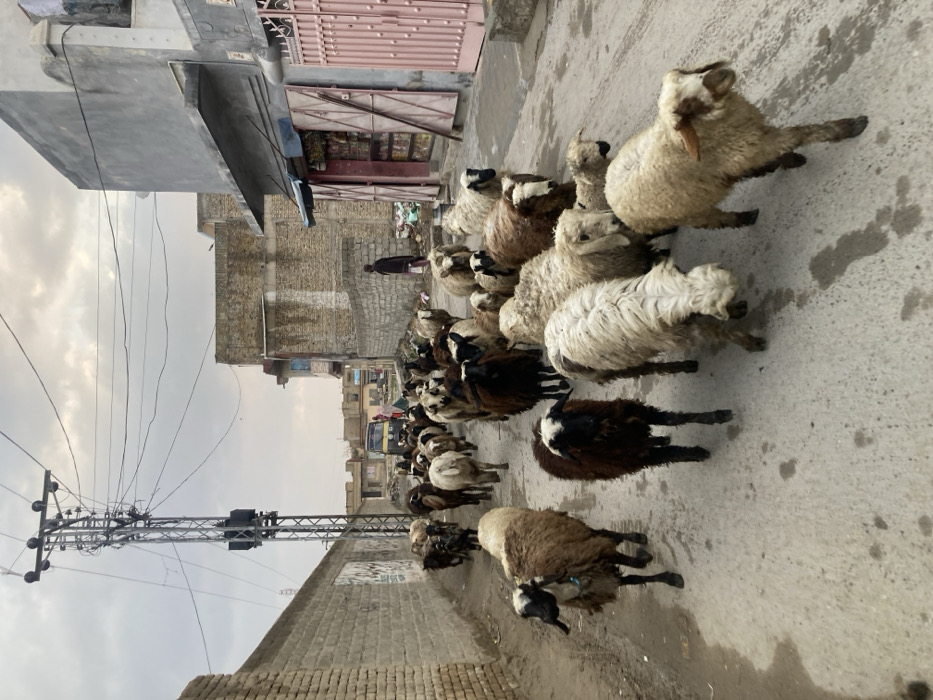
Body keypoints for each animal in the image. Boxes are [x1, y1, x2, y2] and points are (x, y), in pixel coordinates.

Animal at [478, 507, 684, 634]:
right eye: (527, 615)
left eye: (534, 594)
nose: (550, 617)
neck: (572, 586)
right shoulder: (603, 581)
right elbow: (635, 578)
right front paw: (669, 578)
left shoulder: (600, 557)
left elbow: (636, 565)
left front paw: (670, 577)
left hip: (577, 531)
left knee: (603, 533)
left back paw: (637, 537)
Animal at [532, 392, 734, 480]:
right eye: (564, 442)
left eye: (566, 415)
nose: (590, 421)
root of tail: (536, 440)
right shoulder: (638, 457)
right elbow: (673, 453)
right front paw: (699, 453)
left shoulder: (638, 413)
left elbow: (675, 418)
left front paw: (719, 416)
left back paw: (661, 439)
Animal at [544, 257, 763, 383]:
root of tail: (548, 344)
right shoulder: (683, 335)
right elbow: (716, 331)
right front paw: (751, 342)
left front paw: (737, 310)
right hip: (608, 370)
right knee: (648, 369)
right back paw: (684, 367)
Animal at [603, 60, 869, 234]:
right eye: (687, 106)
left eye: (690, 74)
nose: (721, 74)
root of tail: (608, 194)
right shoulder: (751, 145)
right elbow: (800, 134)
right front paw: (849, 127)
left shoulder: (751, 144)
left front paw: (790, 160)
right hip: (692, 213)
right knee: (718, 221)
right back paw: (746, 217)